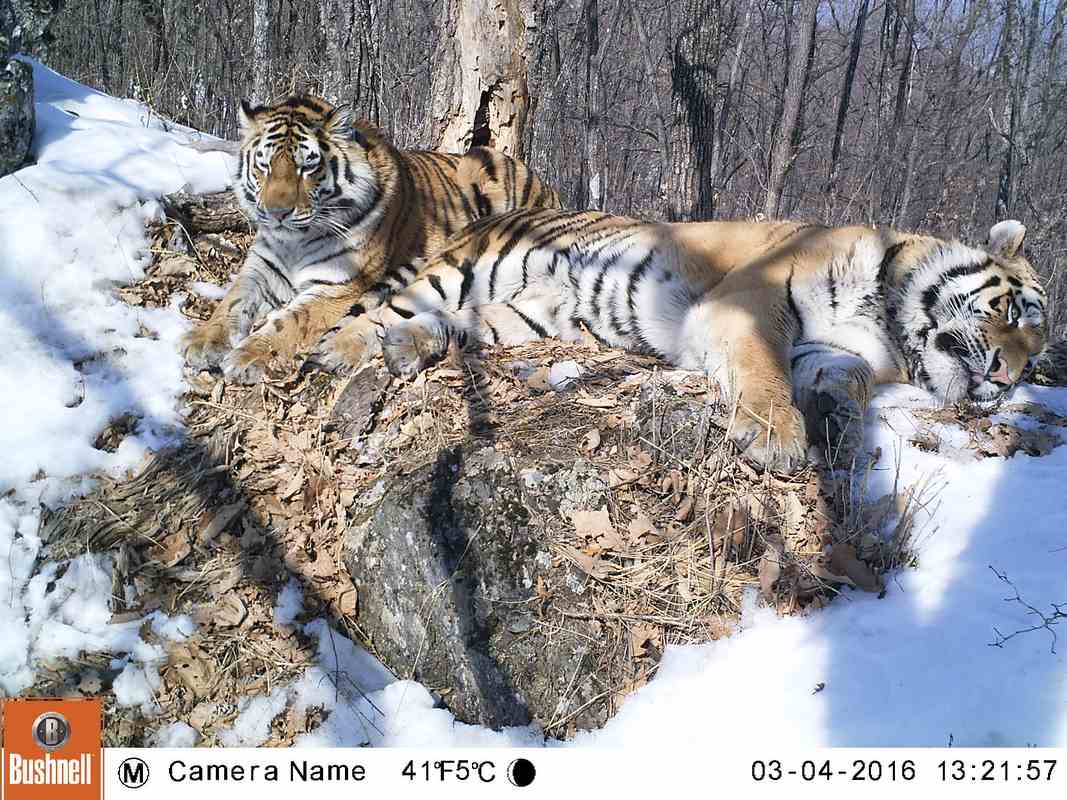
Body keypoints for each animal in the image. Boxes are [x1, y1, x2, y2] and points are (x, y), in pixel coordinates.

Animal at [181, 93, 567, 381]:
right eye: (264, 165)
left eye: (307, 166)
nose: (276, 213)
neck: (295, 241)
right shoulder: (261, 268)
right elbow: (231, 301)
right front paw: (202, 341)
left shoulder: (337, 287)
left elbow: (289, 323)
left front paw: (246, 356)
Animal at [311, 210, 1045, 480]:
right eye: (1013, 311)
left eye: (1037, 356)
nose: (1008, 379)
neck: (888, 318)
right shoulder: (751, 302)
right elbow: (762, 370)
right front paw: (776, 437)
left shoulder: (837, 351)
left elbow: (846, 381)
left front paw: (837, 424)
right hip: (469, 269)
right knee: (380, 308)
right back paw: (339, 351)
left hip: (525, 316)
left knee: (449, 323)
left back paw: (408, 348)